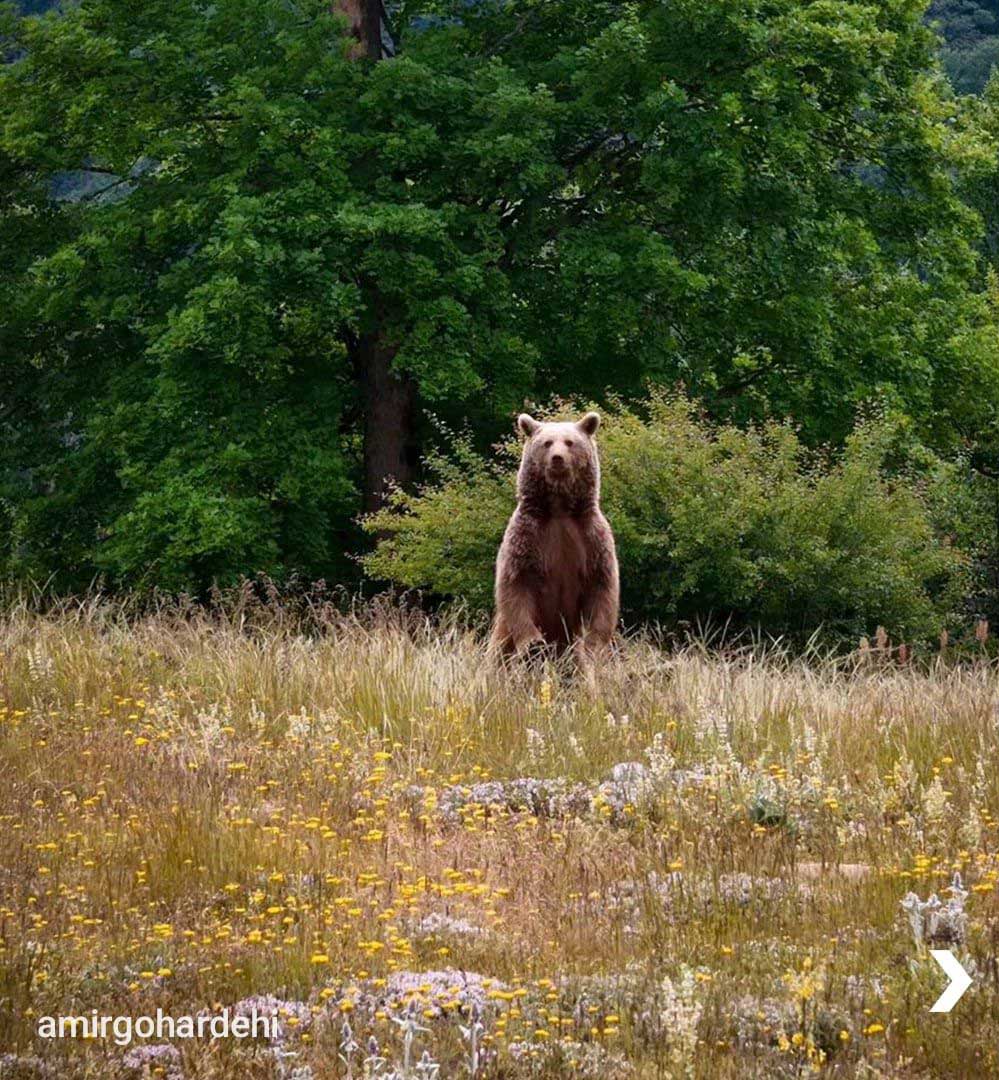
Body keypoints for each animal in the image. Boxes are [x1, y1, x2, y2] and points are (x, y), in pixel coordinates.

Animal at [486, 410, 617, 660]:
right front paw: (533, 642)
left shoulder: (591, 537)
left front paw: (595, 643)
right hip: (503, 641)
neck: (559, 508)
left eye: (569, 442)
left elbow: (602, 586)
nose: (557, 458)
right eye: (547, 443)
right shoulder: (527, 536)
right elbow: (515, 584)